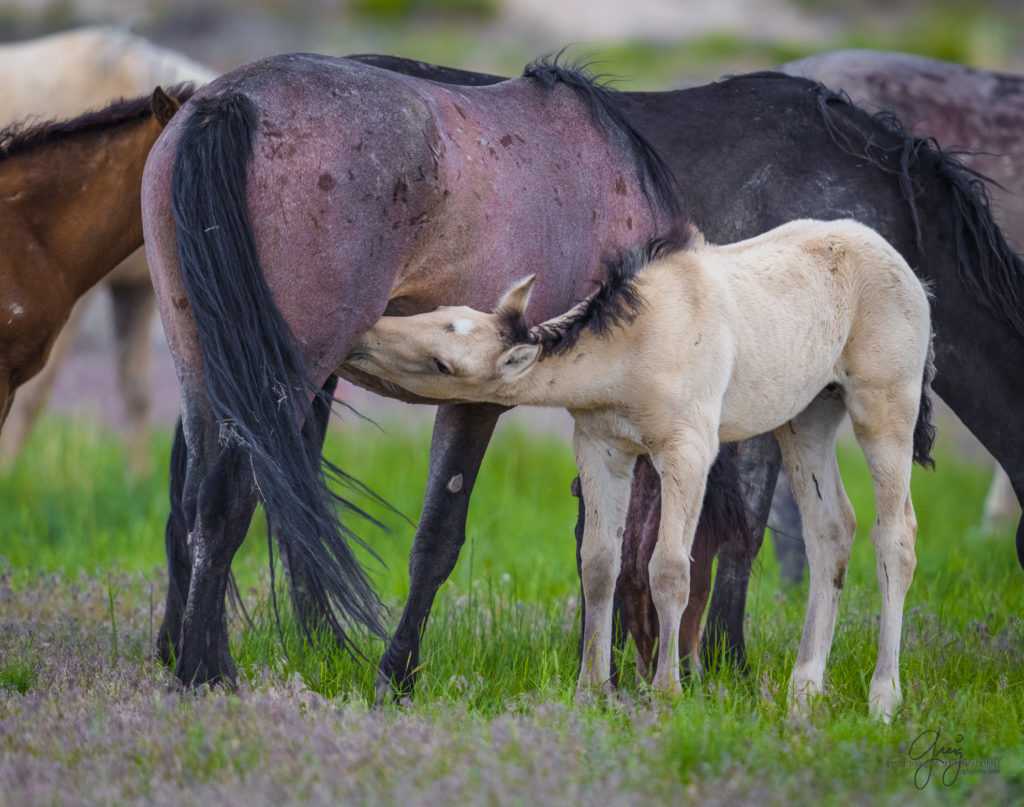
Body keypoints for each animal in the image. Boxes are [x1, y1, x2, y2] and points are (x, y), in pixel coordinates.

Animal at [350, 217, 937, 716]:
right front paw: (592, 691)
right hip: (807, 418)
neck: (641, 342)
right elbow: (598, 563)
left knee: (897, 536)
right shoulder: (601, 448)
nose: (363, 337)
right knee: (831, 530)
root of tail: (905, 269)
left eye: (442, 364)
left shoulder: (688, 450)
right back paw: (804, 691)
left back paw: (884, 697)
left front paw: (666, 692)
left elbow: (669, 570)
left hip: (885, 408)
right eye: (434, 316)